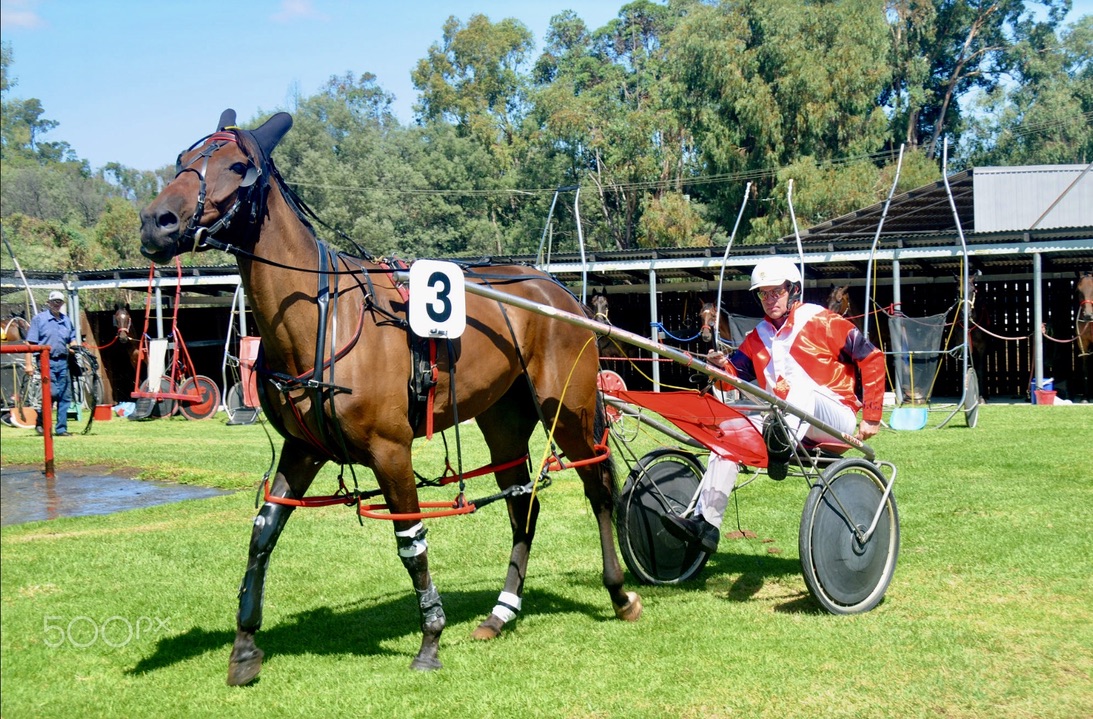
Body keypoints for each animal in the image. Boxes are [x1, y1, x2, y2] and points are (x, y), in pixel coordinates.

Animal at [140, 109, 642, 686]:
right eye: (183, 159)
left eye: (237, 166)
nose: (156, 221)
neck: (322, 319)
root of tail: (557, 291)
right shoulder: (303, 449)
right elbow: (263, 533)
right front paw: (244, 647)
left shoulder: (391, 450)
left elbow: (411, 541)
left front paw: (430, 639)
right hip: (505, 420)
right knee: (524, 507)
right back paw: (501, 611)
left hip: (569, 409)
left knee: (599, 486)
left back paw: (619, 593)